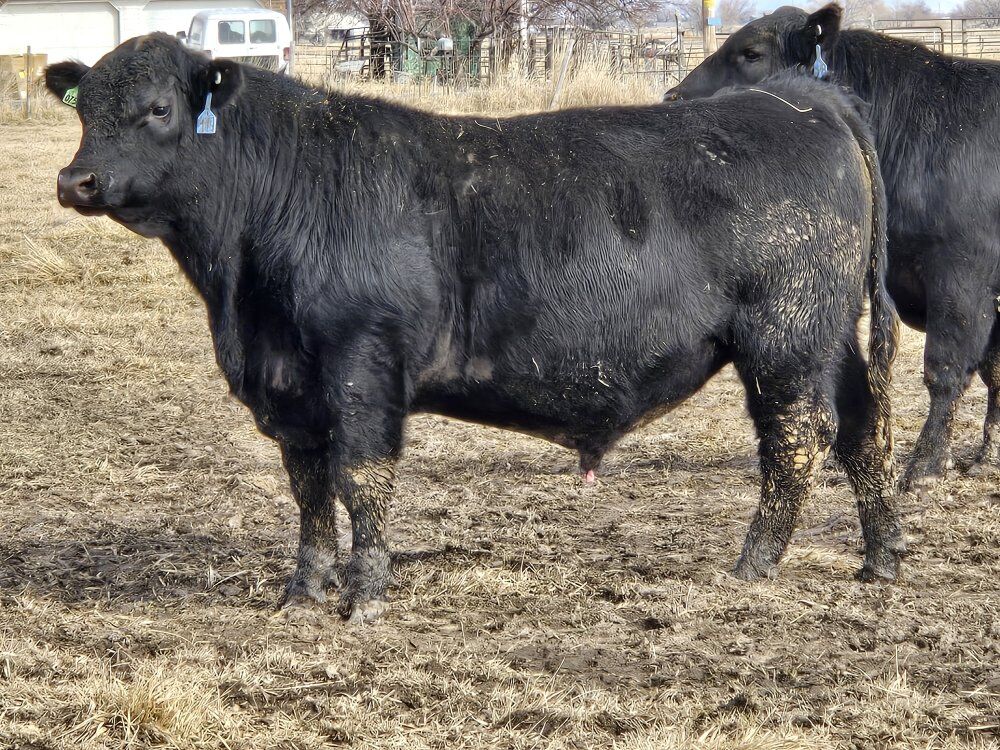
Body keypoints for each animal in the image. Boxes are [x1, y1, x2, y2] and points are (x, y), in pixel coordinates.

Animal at [46, 35, 902, 622]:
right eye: (83, 106)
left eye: (159, 108)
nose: (75, 180)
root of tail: (803, 101)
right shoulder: (289, 385)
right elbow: (308, 486)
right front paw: (303, 590)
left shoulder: (362, 364)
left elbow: (360, 478)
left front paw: (365, 596)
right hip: (832, 336)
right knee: (865, 428)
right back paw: (882, 557)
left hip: (785, 339)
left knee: (798, 438)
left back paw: (754, 562)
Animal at [667, 4, 1000, 492]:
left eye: (751, 52)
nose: (672, 98)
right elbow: (996, 372)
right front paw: (987, 455)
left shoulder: (963, 279)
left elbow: (946, 370)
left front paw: (926, 465)